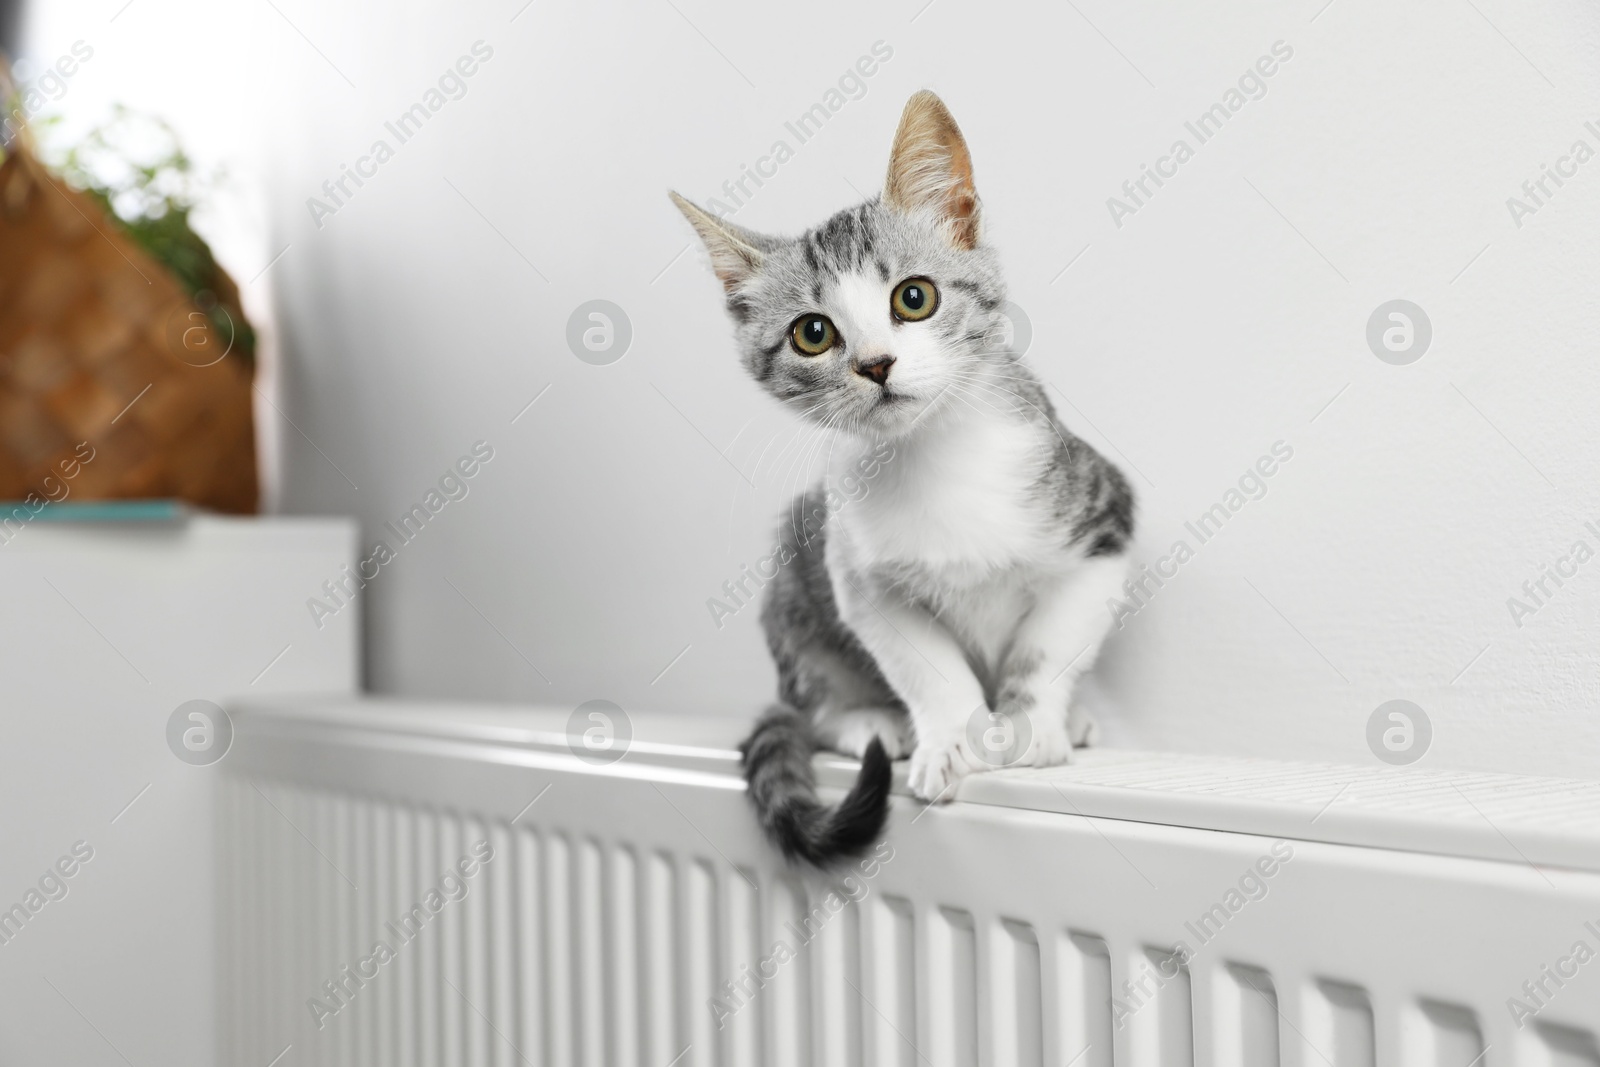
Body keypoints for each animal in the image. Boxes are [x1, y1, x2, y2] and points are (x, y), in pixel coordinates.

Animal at [668, 91, 1132, 870]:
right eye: (813, 334)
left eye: (914, 297)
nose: (876, 364)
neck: (934, 457)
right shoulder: (858, 574)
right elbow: (926, 666)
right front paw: (951, 737)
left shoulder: (1104, 520)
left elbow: (1049, 641)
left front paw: (1031, 722)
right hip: (795, 574)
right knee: (811, 704)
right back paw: (870, 722)